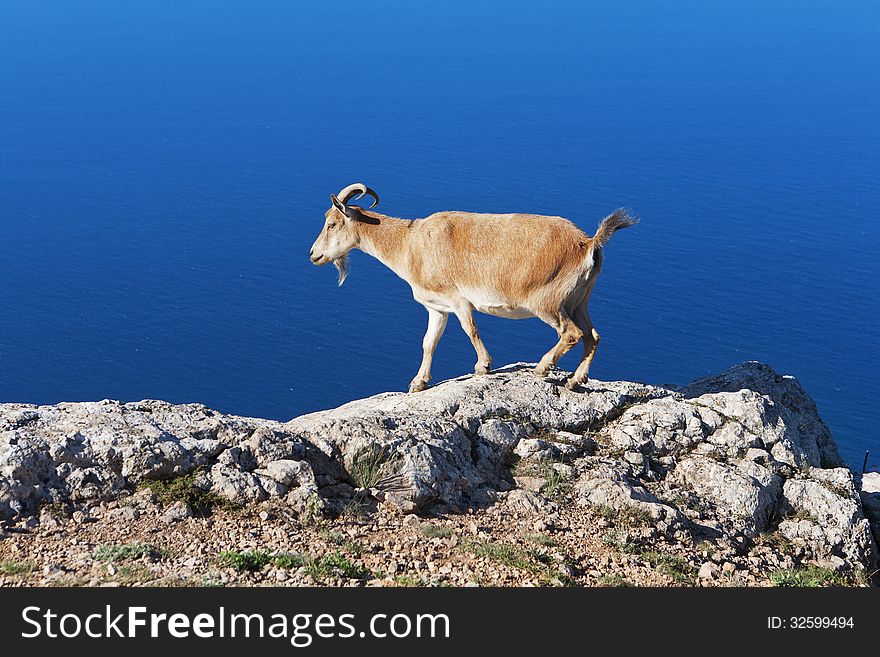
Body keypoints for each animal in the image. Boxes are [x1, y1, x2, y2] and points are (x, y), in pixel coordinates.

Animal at [306, 182, 636, 392]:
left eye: (332, 224)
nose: (314, 255)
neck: (410, 245)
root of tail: (588, 243)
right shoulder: (437, 308)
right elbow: (428, 342)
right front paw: (418, 383)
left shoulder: (458, 300)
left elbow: (470, 329)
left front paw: (483, 366)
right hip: (579, 300)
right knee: (593, 335)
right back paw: (575, 380)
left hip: (549, 302)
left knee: (572, 333)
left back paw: (543, 367)